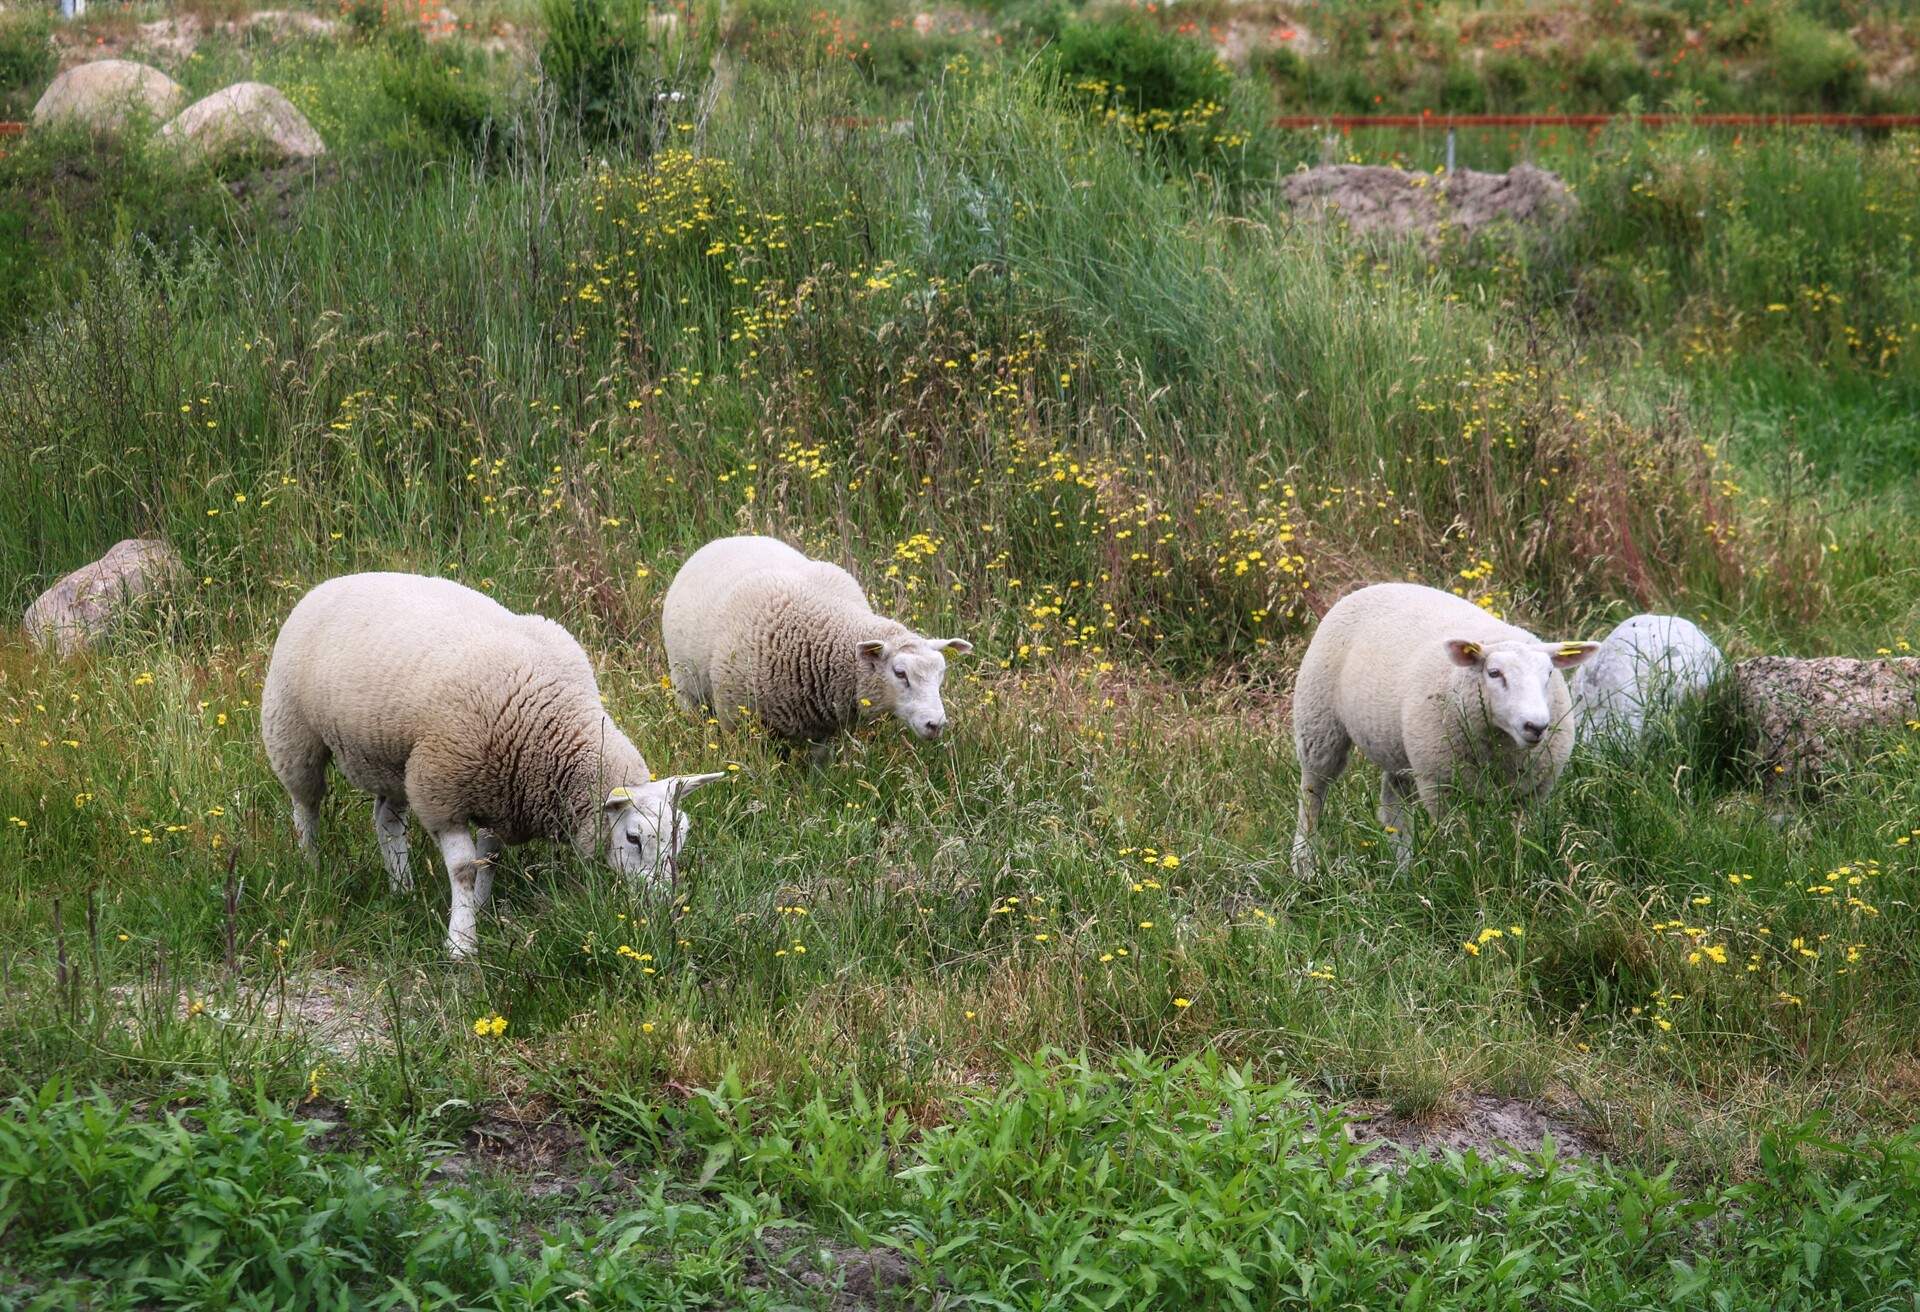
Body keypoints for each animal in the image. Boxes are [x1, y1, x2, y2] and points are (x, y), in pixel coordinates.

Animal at [259, 572, 721, 952]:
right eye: (633, 839)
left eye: (681, 836)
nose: (665, 907)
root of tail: (336, 580)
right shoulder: (442, 791)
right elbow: (464, 868)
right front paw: (461, 944)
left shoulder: (503, 791)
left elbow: (491, 858)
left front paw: (481, 911)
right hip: (293, 731)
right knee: (305, 805)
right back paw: (312, 867)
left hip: (396, 760)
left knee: (386, 820)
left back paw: (402, 887)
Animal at [668, 537, 983, 749]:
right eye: (900, 673)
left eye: (941, 675)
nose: (936, 724)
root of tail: (729, 539)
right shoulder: (735, 719)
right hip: (685, 684)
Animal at [1290, 583, 1605, 872]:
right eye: (1494, 673)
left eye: (1549, 673)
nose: (1536, 726)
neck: (1501, 749)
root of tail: (1374, 585)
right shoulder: (1442, 788)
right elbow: (1460, 842)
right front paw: (1464, 873)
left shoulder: (1532, 792)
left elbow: (1521, 839)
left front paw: (1519, 871)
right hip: (1318, 722)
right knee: (1312, 794)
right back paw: (1304, 863)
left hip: (1399, 746)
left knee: (1393, 803)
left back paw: (1402, 865)